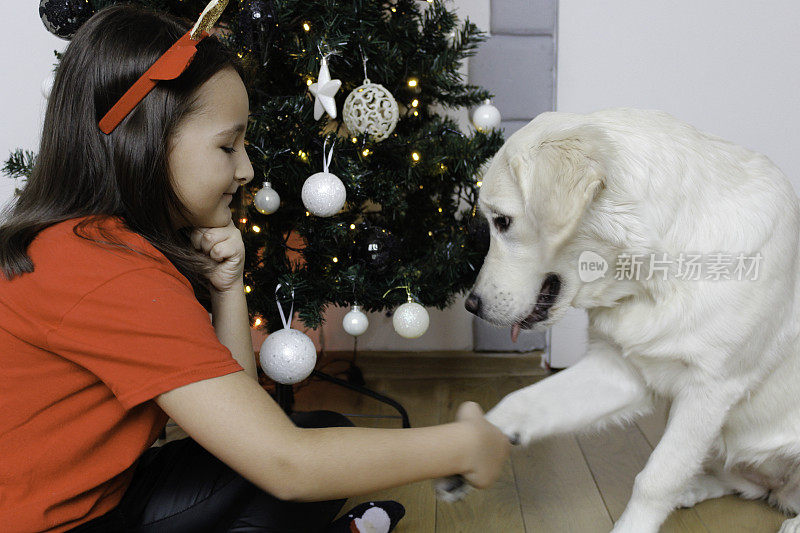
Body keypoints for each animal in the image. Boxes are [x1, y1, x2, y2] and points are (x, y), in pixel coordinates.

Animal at [438, 108, 800, 532]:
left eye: (502, 221)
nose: (471, 305)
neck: (654, 276)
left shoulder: (709, 391)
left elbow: (657, 478)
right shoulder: (620, 370)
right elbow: (522, 400)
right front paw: (468, 445)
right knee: (748, 485)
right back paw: (695, 490)